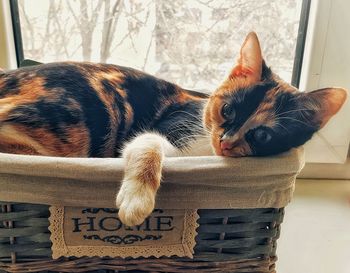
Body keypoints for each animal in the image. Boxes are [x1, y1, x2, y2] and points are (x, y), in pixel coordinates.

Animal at [0, 31, 346, 224]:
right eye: (228, 109)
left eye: (263, 134)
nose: (226, 141)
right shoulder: (166, 126)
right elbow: (147, 144)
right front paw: (136, 201)